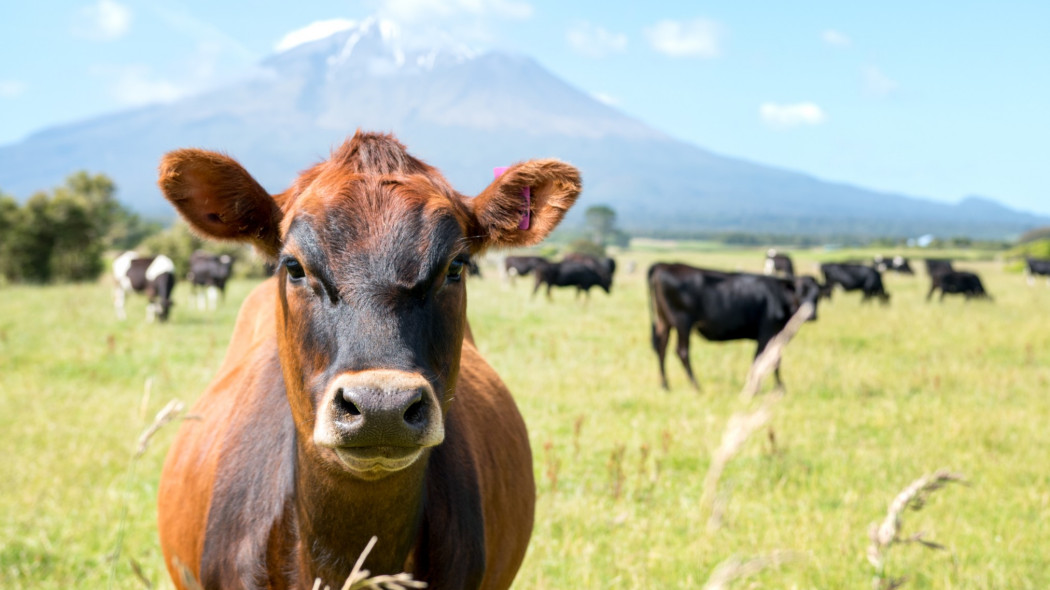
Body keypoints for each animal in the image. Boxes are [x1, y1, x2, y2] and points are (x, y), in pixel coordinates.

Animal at [646, 261, 818, 390]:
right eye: (800, 292)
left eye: (817, 296)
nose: (811, 314)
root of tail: (664, 265)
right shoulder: (767, 334)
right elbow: (765, 359)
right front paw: (766, 388)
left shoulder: (777, 336)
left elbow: (772, 359)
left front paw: (777, 387)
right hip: (683, 322)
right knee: (682, 351)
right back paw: (696, 386)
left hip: (664, 322)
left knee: (661, 348)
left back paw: (665, 386)